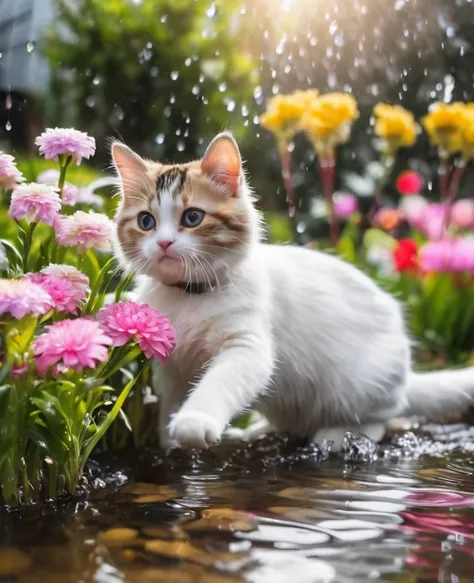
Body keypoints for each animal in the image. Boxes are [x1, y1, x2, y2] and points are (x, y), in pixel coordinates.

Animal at [112, 133, 474, 452]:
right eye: (146, 221)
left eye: (192, 217)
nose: (163, 243)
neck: (188, 295)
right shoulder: (170, 367)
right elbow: (170, 403)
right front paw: (168, 444)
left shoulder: (247, 347)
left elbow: (218, 383)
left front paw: (194, 421)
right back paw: (258, 431)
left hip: (362, 386)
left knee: (383, 419)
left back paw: (338, 434)